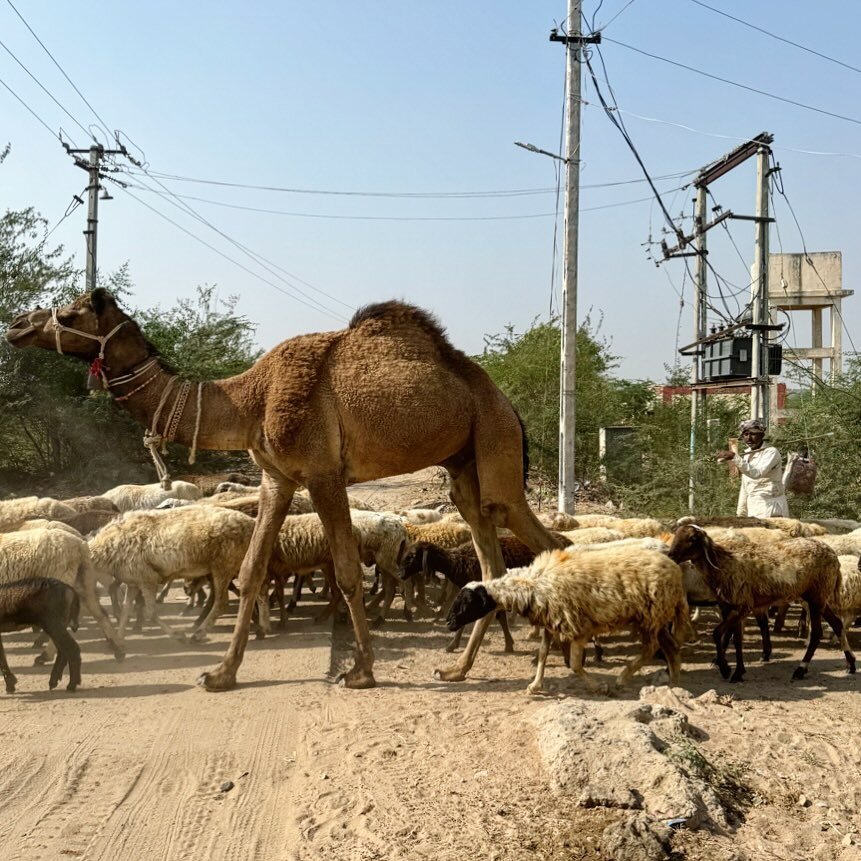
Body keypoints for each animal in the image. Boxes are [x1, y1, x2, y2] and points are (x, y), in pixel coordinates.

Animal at [0, 524, 122, 660]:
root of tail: (80, 544)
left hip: (60, 583)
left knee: (61, 623)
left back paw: (45, 656)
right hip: (82, 582)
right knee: (100, 613)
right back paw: (118, 650)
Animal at [446, 548, 688, 696]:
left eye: (465, 602)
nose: (448, 623)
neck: (532, 585)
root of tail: (676, 572)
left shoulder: (578, 628)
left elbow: (574, 665)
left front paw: (598, 687)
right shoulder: (550, 623)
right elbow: (542, 655)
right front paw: (535, 685)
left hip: (651, 615)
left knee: (651, 648)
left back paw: (622, 679)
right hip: (655, 617)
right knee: (670, 646)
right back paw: (674, 683)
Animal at [664, 520, 852, 680]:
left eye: (692, 539)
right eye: (676, 535)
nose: (670, 556)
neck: (723, 563)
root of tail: (833, 555)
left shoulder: (742, 606)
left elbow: (718, 634)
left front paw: (726, 669)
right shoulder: (731, 606)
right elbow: (736, 639)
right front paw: (738, 671)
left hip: (817, 596)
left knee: (817, 633)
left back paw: (800, 669)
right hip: (818, 598)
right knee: (837, 623)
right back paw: (851, 664)